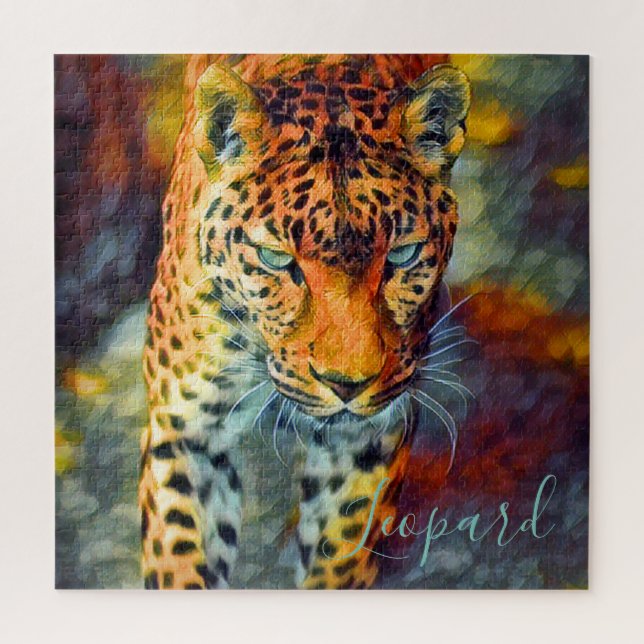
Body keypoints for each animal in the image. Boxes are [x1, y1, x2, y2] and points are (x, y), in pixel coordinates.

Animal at [138, 54, 470, 589]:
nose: (347, 385)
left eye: (402, 255)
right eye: (276, 259)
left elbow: (341, 549)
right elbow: (180, 553)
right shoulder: (184, 430)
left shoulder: (367, 438)